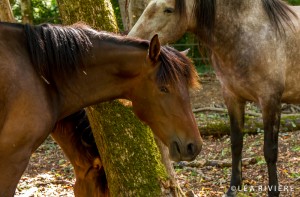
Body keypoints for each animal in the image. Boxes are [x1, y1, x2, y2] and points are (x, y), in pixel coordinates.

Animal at [130, 0, 300, 197]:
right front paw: (233, 188)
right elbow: (236, 144)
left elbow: (270, 151)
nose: (132, 39)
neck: (249, 33)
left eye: (168, 9)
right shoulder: (232, 98)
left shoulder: (270, 101)